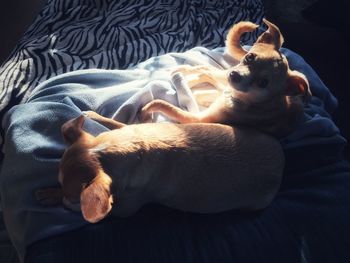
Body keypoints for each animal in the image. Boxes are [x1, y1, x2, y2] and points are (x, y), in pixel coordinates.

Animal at [36, 112, 284, 224]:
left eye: (73, 195)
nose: (63, 196)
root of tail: (282, 159)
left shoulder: (123, 209)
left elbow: (84, 209)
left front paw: (53, 196)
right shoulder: (129, 127)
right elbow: (114, 122)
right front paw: (93, 115)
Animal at [141, 19, 310, 138]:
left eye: (263, 83)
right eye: (250, 57)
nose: (235, 75)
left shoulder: (198, 119)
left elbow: (165, 105)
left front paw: (147, 109)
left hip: (222, 78)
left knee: (207, 74)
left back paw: (182, 78)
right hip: (225, 73)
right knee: (206, 71)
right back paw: (181, 72)